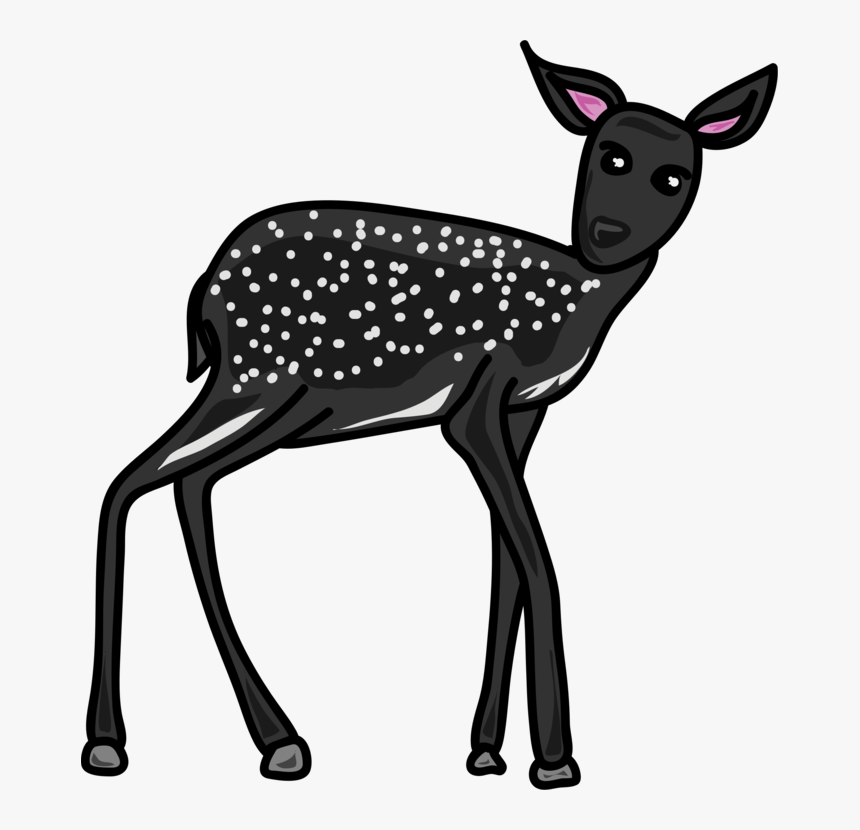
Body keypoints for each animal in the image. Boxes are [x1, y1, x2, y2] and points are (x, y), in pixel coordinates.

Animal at [81, 42, 777, 789]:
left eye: (675, 177)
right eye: (608, 155)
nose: (608, 234)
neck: (579, 296)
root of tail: (205, 288)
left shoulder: (528, 409)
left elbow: (506, 564)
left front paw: (487, 751)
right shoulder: (477, 403)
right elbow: (537, 558)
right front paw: (555, 760)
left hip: (286, 403)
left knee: (183, 483)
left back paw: (273, 740)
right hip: (261, 377)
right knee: (130, 482)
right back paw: (114, 743)